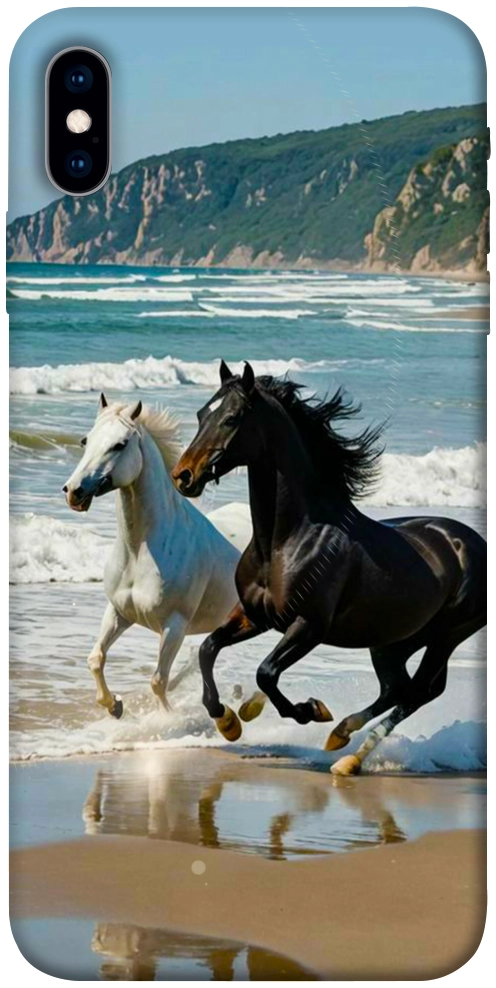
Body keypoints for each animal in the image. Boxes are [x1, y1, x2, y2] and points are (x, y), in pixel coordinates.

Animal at [63, 393, 240, 718]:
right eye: (86, 440)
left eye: (120, 444)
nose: (74, 491)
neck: (140, 552)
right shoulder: (119, 612)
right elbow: (96, 658)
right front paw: (114, 706)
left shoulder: (174, 626)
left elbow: (158, 681)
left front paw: (166, 720)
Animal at [171, 361, 486, 774]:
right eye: (201, 414)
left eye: (232, 418)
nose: (183, 476)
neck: (286, 541)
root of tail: (474, 544)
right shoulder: (255, 616)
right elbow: (208, 649)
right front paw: (228, 721)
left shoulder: (309, 626)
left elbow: (266, 673)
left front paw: (310, 710)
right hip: (393, 640)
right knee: (399, 688)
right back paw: (341, 737)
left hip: (447, 635)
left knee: (418, 691)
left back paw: (348, 755)